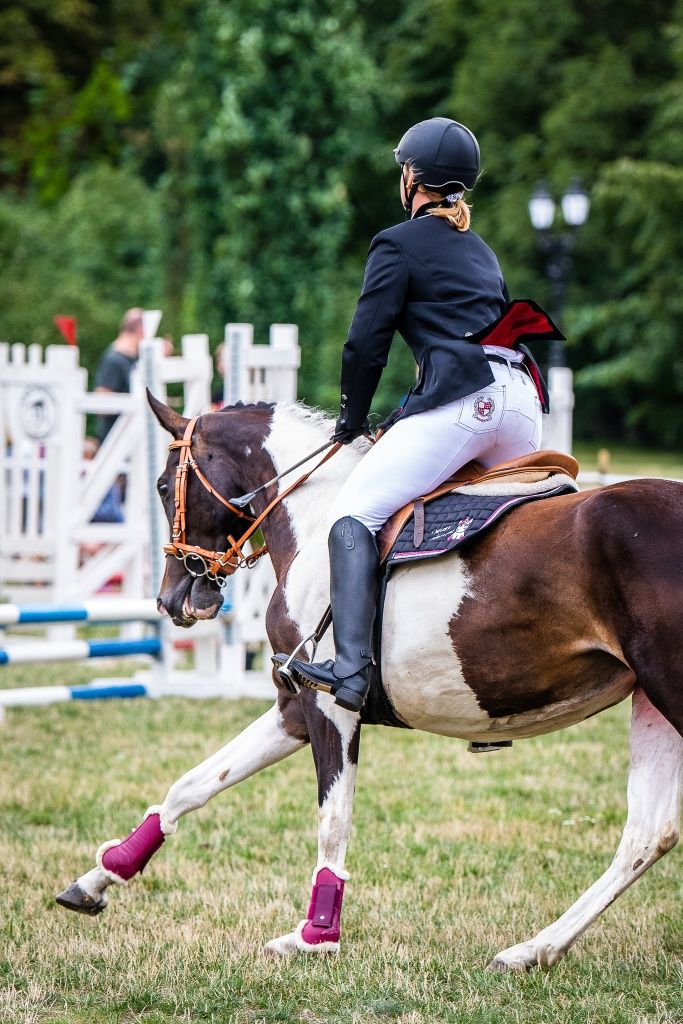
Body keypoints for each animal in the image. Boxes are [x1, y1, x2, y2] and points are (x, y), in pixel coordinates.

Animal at [58, 395, 683, 970]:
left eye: (163, 485)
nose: (171, 600)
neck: (316, 514)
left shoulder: (329, 705)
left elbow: (333, 818)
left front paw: (315, 935)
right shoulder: (294, 706)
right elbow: (191, 785)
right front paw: (99, 877)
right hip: (651, 704)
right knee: (646, 834)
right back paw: (534, 949)